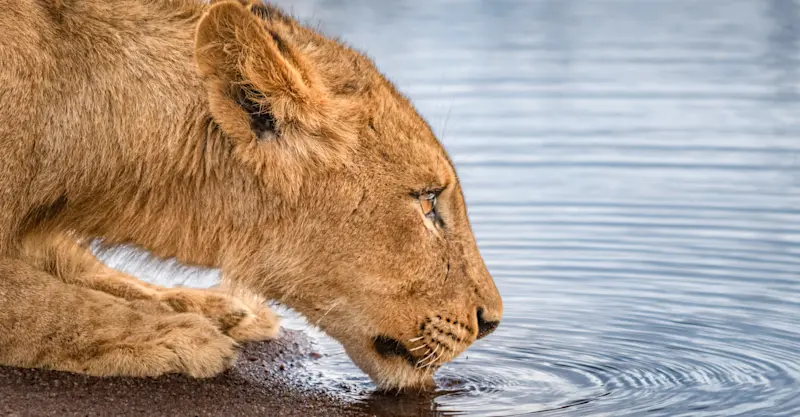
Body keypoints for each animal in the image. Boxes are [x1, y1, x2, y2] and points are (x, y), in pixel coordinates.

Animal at [0, 0, 503, 391]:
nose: (491, 321)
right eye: (428, 201)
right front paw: (177, 336)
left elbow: (80, 267)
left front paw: (210, 306)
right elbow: (40, 301)